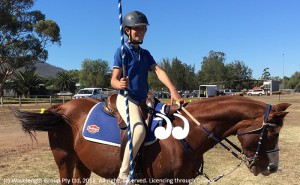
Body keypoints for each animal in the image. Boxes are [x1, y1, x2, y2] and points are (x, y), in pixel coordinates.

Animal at [12, 94, 290, 184]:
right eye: (272, 132)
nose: (272, 167)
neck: (184, 136)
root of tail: (61, 107)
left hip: (83, 163)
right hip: (64, 160)